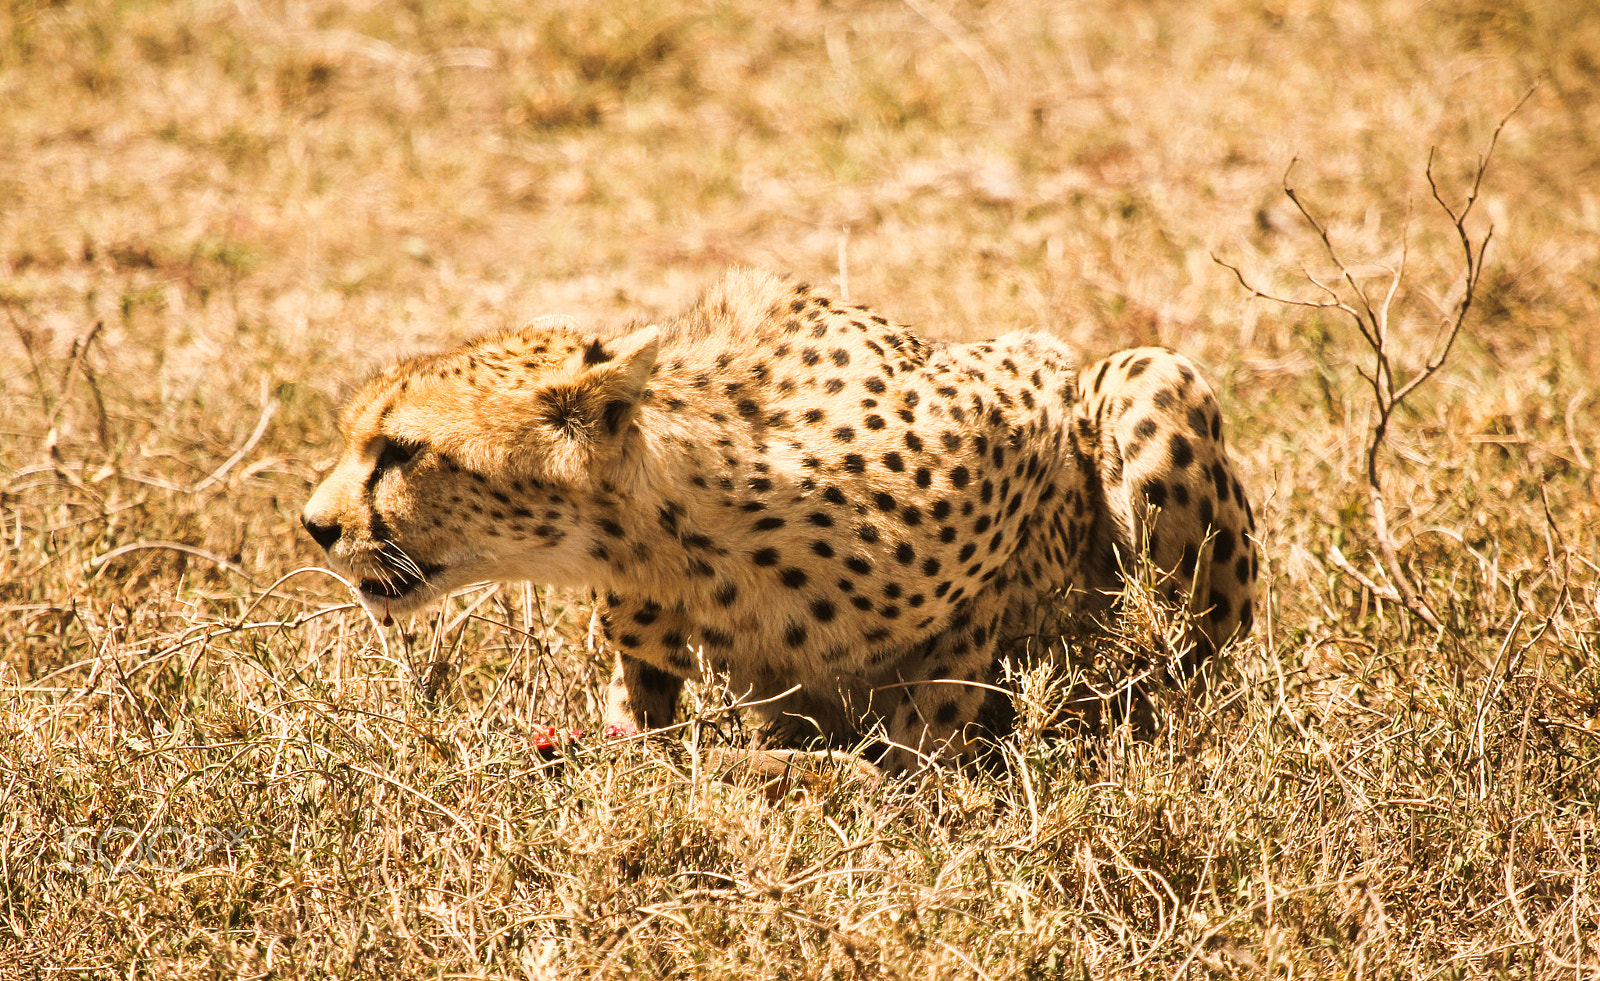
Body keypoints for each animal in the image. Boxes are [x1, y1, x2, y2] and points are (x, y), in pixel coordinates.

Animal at [302, 268, 1258, 774]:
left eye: (402, 449)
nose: (315, 525)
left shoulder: (1024, 383)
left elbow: (953, 668)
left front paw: (905, 758)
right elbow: (644, 709)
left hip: (1152, 377)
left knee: (1193, 650)